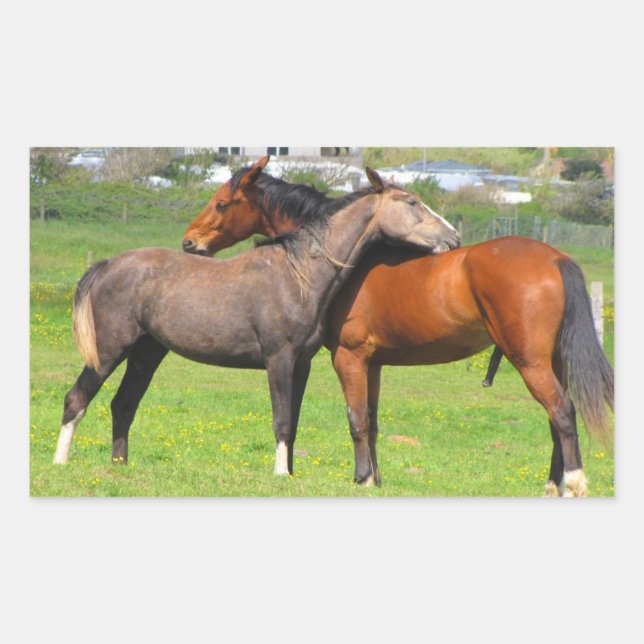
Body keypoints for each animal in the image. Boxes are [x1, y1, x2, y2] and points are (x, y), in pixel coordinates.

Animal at [53, 168, 460, 477]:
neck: (297, 274)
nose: (453, 237)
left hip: (147, 353)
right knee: (77, 398)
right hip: (109, 351)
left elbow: (293, 422)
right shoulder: (278, 360)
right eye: (412, 203)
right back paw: (60, 463)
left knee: (123, 405)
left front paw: (291, 473)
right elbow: (281, 421)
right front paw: (280, 475)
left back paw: (118, 467)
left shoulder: (301, 365)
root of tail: (108, 264)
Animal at [182, 157, 614, 496]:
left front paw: (361, 478)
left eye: (221, 203)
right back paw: (553, 485)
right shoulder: (373, 364)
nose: (189, 242)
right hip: (551, 361)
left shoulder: (349, 359)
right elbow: (372, 422)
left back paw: (573, 483)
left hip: (530, 362)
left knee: (561, 411)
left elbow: (356, 419)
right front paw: (375, 478)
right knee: (556, 419)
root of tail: (555, 257)